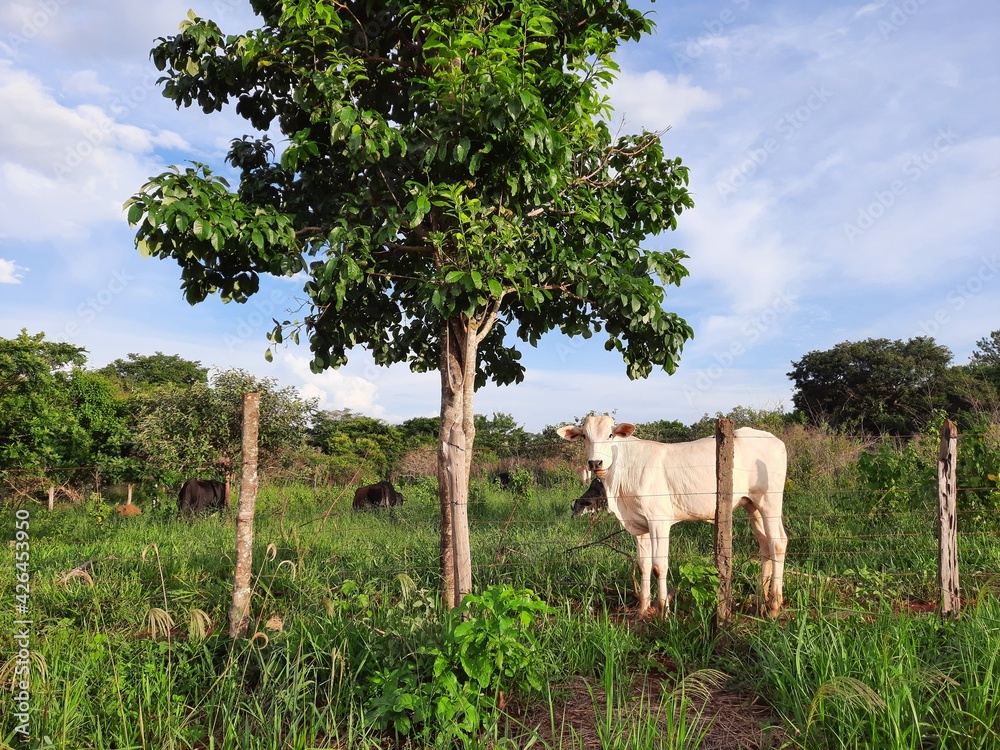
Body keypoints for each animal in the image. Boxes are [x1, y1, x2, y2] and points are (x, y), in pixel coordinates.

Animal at [558, 415, 788, 618]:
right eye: (584, 436)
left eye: (610, 434)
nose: (595, 462)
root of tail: (774, 439)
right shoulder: (640, 526)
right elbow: (643, 566)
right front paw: (642, 610)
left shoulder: (659, 521)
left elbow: (659, 566)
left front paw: (663, 612)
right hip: (751, 505)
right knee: (765, 544)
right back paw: (760, 602)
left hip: (770, 501)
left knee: (777, 543)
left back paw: (774, 607)